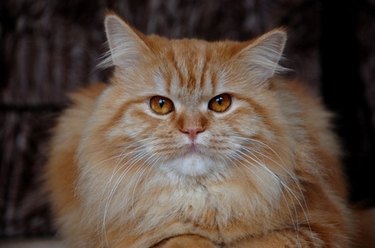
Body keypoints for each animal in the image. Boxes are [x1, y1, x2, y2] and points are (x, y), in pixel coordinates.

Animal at [44, 12, 356, 248]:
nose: (192, 130)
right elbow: (180, 239)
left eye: (220, 103)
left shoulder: (321, 224)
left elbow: (261, 242)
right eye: (160, 105)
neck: (200, 201)